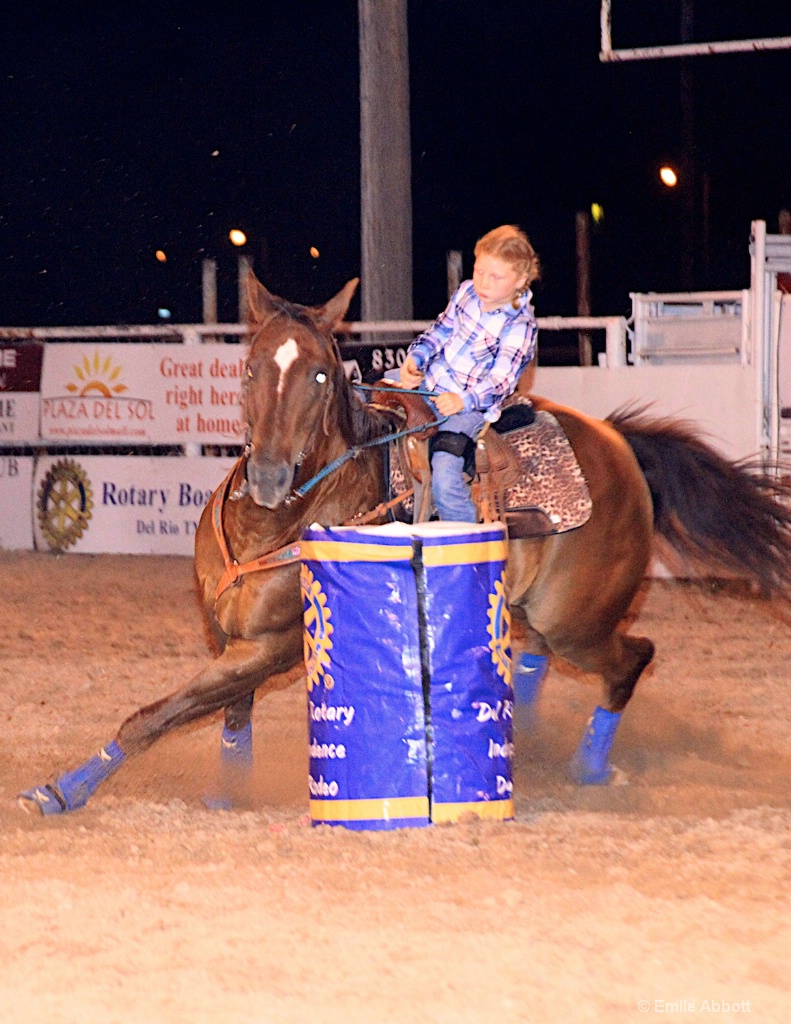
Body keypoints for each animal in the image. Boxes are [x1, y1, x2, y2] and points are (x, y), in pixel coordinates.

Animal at [17, 274, 790, 815]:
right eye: (249, 369)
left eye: (321, 373)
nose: (267, 477)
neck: (274, 523)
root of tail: (621, 447)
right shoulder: (233, 638)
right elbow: (230, 715)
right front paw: (228, 790)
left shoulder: (274, 645)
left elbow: (158, 714)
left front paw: (62, 790)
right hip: (538, 613)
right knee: (536, 656)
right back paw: (529, 743)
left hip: (582, 619)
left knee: (631, 659)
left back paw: (586, 769)